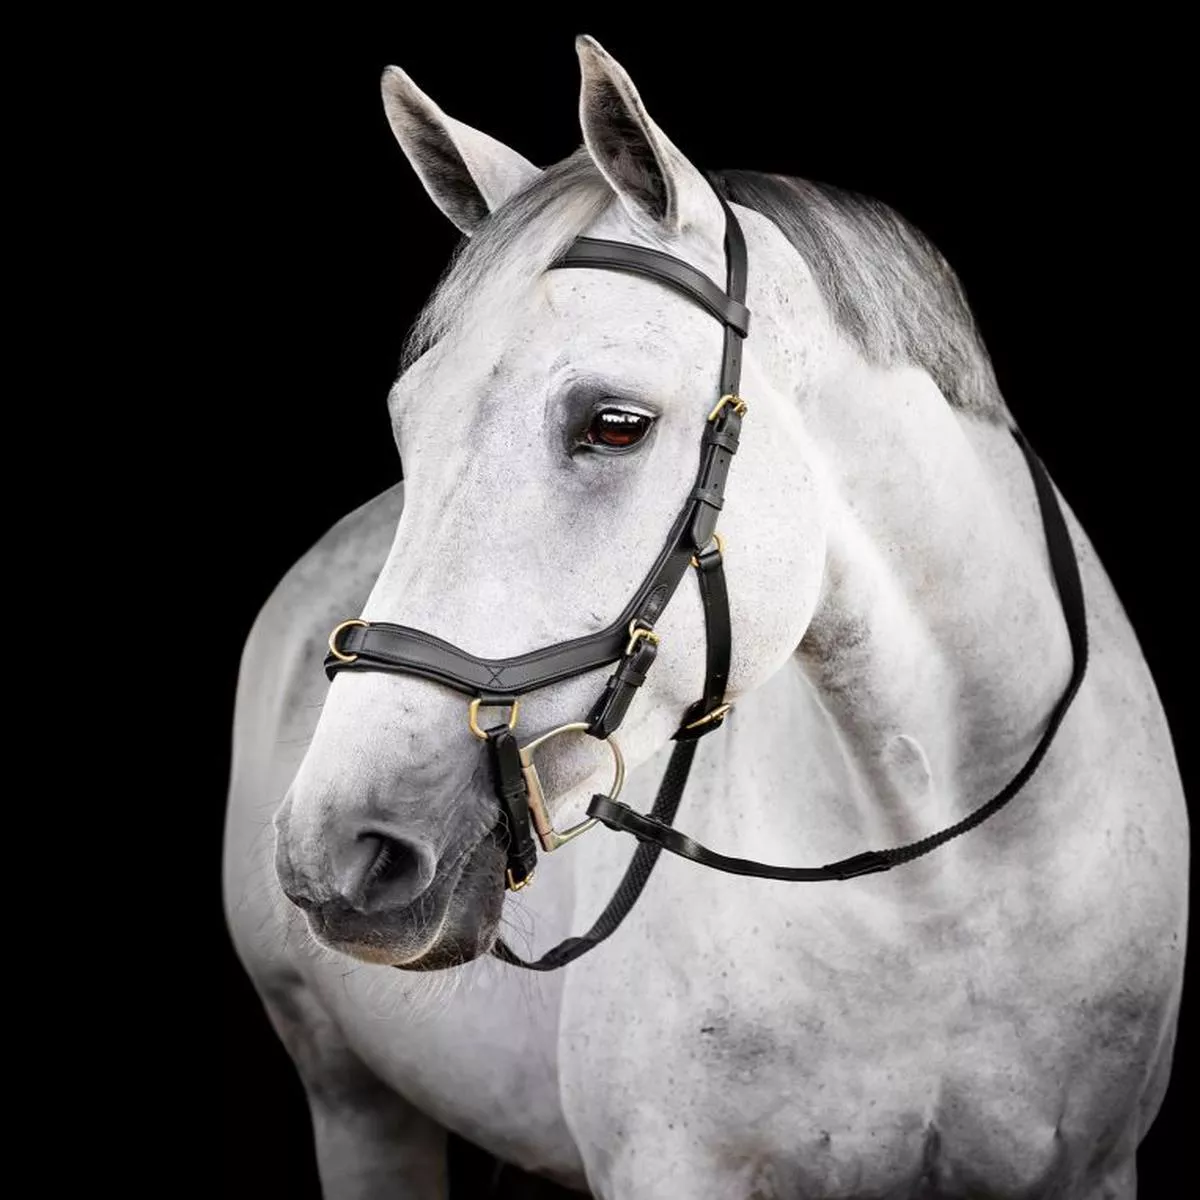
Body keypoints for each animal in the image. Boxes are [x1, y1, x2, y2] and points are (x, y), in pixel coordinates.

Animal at [222, 36, 1188, 1198]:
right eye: (408, 422)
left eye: (614, 424)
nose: (342, 848)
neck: (942, 883)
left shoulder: (1091, 1167)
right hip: (354, 1104)